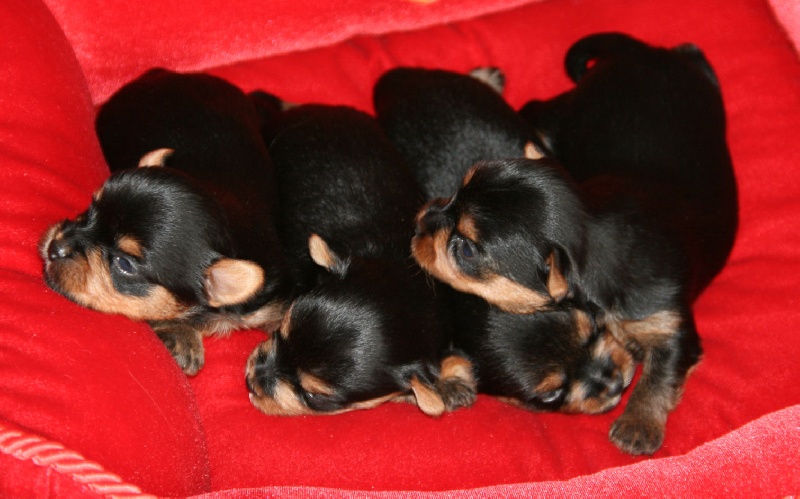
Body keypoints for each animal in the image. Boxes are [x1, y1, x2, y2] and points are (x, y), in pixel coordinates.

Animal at [412, 34, 736, 458]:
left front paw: (638, 426)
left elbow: (661, 374)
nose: (419, 222)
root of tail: (643, 51)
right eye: (454, 193)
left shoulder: (668, 323)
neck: (595, 228)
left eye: (464, 249)